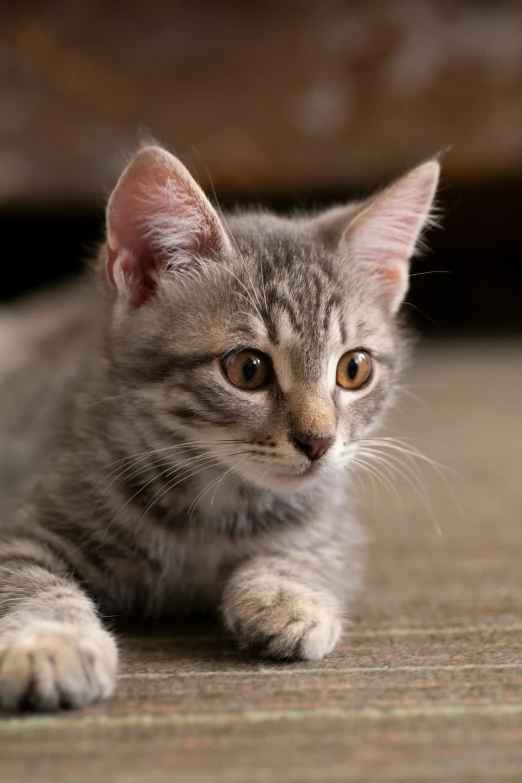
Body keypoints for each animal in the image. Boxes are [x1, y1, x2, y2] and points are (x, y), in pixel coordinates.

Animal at [0, 145, 438, 712]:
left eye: (354, 369)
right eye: (247, 369)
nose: (318, 442)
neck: (211, 506)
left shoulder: (334, 527)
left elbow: (310, 555)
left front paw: (286, 597)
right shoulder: (26, 517)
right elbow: (27, 577)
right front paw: (51, 641)